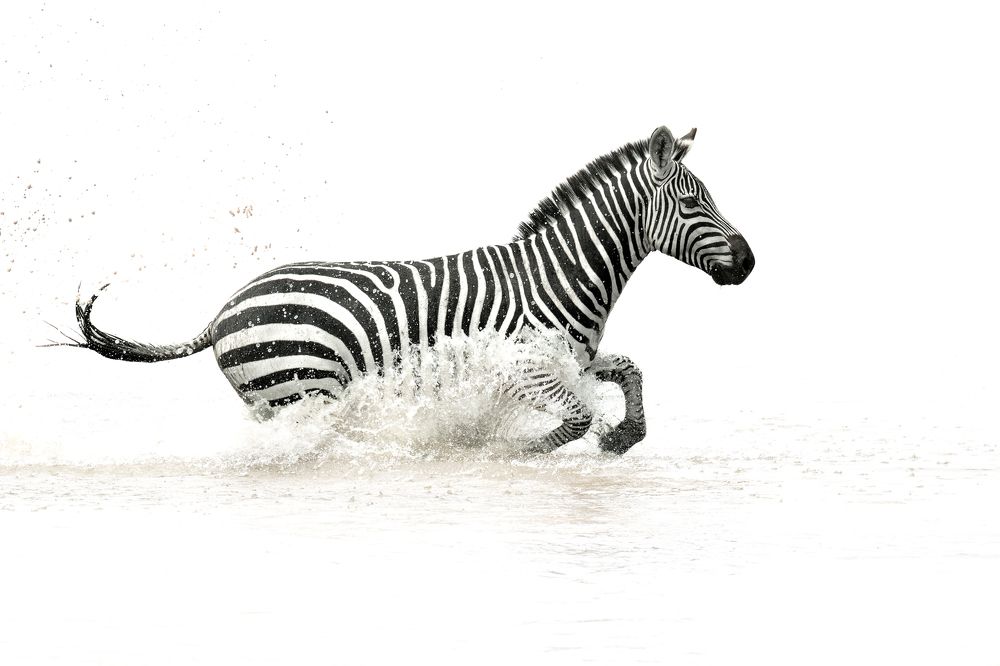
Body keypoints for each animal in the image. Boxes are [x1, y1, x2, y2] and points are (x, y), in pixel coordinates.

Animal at [58, 125, 754, 454]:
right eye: (693, 204)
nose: (749, 264)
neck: (561, 272)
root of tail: (223, 310)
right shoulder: (522, 367)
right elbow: (577, 416)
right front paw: (510, 450)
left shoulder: (572, 359)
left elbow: (631, 371)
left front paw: (620, 437)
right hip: (302, 387)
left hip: (280, 398)